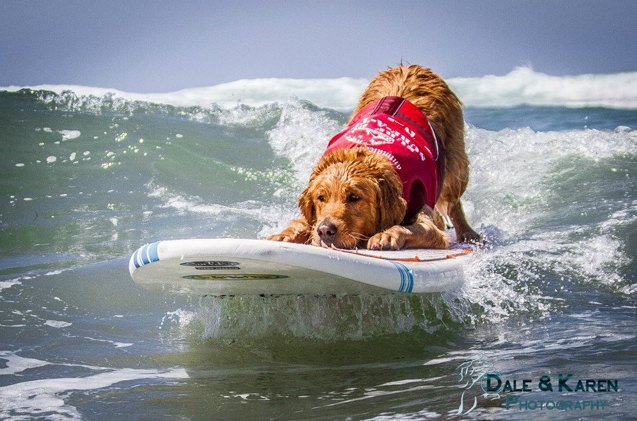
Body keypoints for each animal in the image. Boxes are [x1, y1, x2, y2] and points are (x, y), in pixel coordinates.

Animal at [266, 63, 480, 248]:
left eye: (354, 197)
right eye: (321, 197)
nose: (325, 230)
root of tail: (411, 67)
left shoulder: (427, 216)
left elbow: (418, 227)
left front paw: (386, 234)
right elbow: (303, 222)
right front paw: (285, 234)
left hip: (455, 165)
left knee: (453, 202)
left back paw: (469, 234)